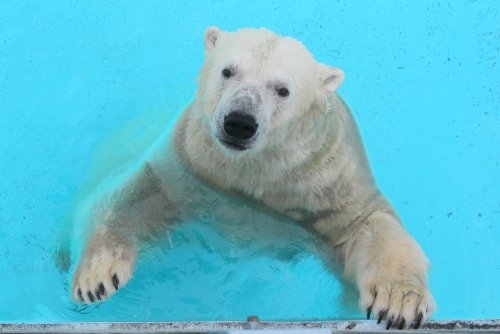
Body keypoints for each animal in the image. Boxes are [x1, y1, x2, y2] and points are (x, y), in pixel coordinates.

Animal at [70, 26, 434, 328]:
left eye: (283, 90)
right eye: (228, 71)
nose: (240, 122)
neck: (256, 172)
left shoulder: (325, 181)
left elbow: (367, 225)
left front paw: (398, 302)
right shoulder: (191, 168)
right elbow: (137, 197)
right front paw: (96, 277)